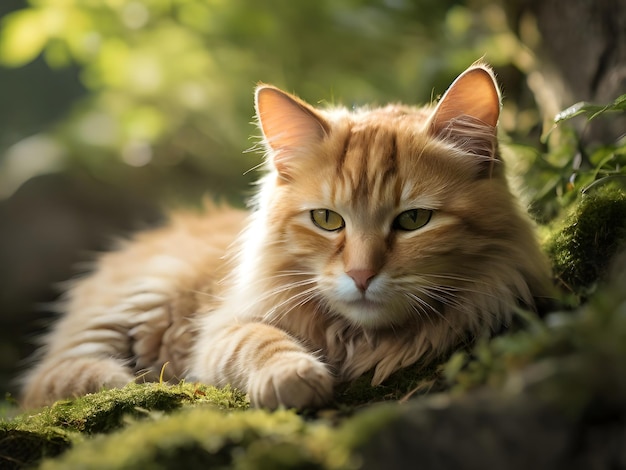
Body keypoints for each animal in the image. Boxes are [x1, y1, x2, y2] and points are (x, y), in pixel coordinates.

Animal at [19, 62, 548, 408]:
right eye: (328, 220)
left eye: (413, 220)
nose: (361, 275)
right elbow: (258, 341)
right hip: (135, 302)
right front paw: (294, 375)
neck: (357, 340)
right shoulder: (222, 328)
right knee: (50, 377)